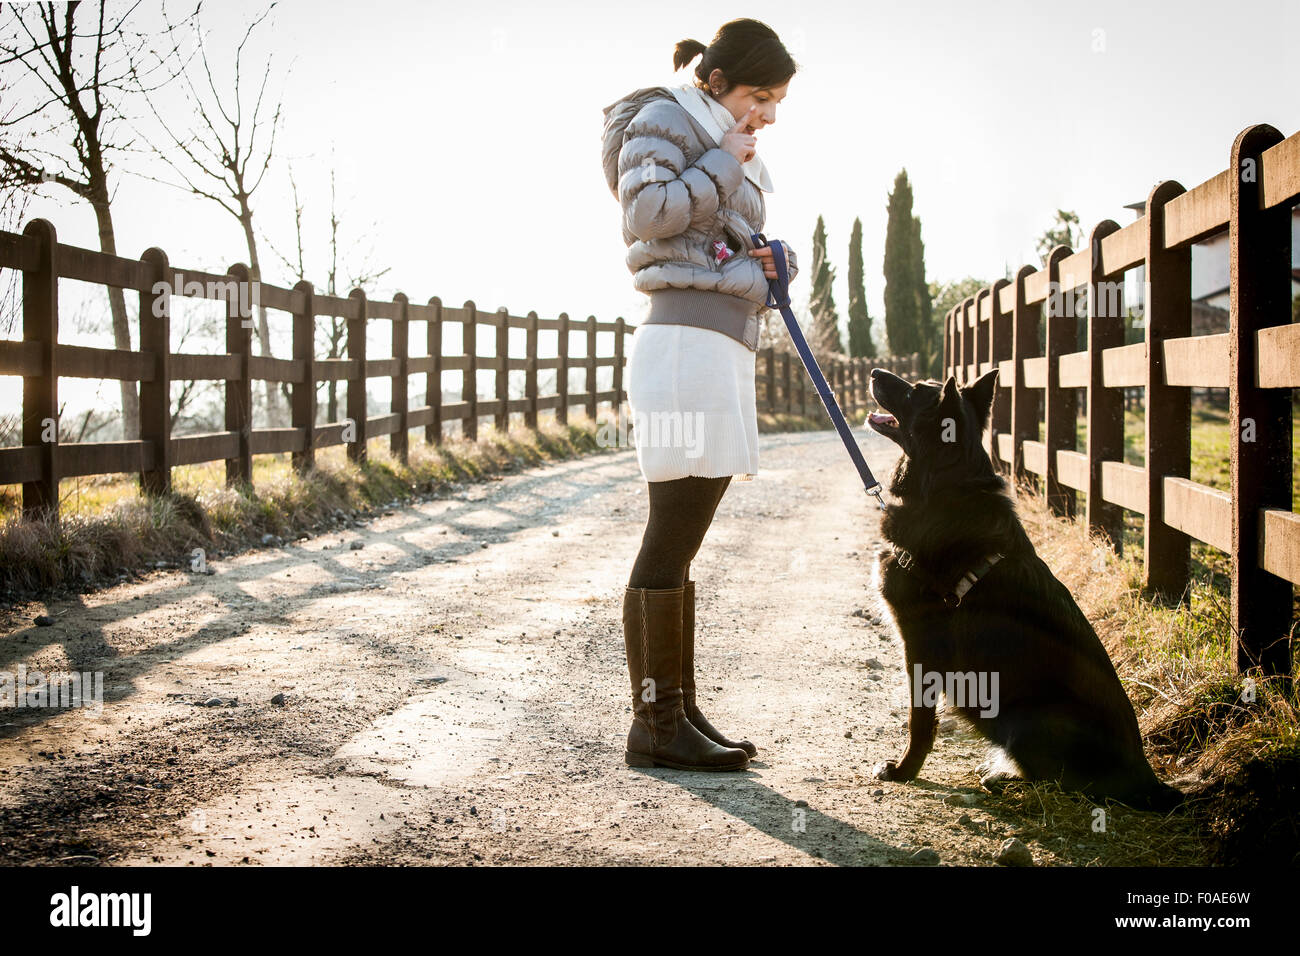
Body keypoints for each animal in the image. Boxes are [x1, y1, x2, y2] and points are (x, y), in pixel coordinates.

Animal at [863, 369, 1180, 811]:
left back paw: (1004, 778)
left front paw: (904, 772)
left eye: (915, 392)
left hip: (1032, 717)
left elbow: (919, 720)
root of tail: (1146, 778)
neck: (941, 484)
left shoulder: (921, 645)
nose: (875, 373)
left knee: (1061, 783)